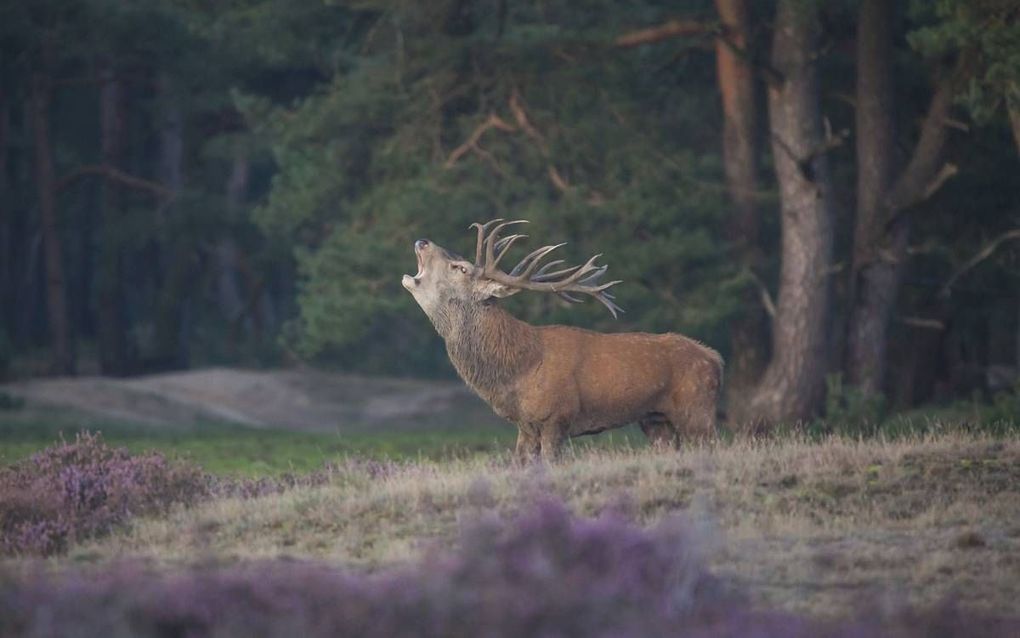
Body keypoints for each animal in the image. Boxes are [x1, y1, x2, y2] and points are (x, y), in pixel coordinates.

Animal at [401, 217, 722, 457]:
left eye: (461, 267)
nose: (423, 241)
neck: (518, 371)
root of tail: (715, 359)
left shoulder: (556, 417)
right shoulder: (526, 426)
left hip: (697, 408)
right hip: (655, 419)